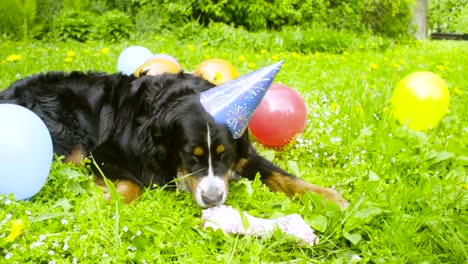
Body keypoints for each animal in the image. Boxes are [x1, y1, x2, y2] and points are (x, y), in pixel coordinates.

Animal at [0, 71, 348, 207]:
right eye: (191, 155)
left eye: (223, 154)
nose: (213, 200)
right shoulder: (101, 155)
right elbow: (132, 186)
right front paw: (102, 198)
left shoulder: (243, 152)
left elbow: (283, 176)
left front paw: (330, 197)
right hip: (71, 142)